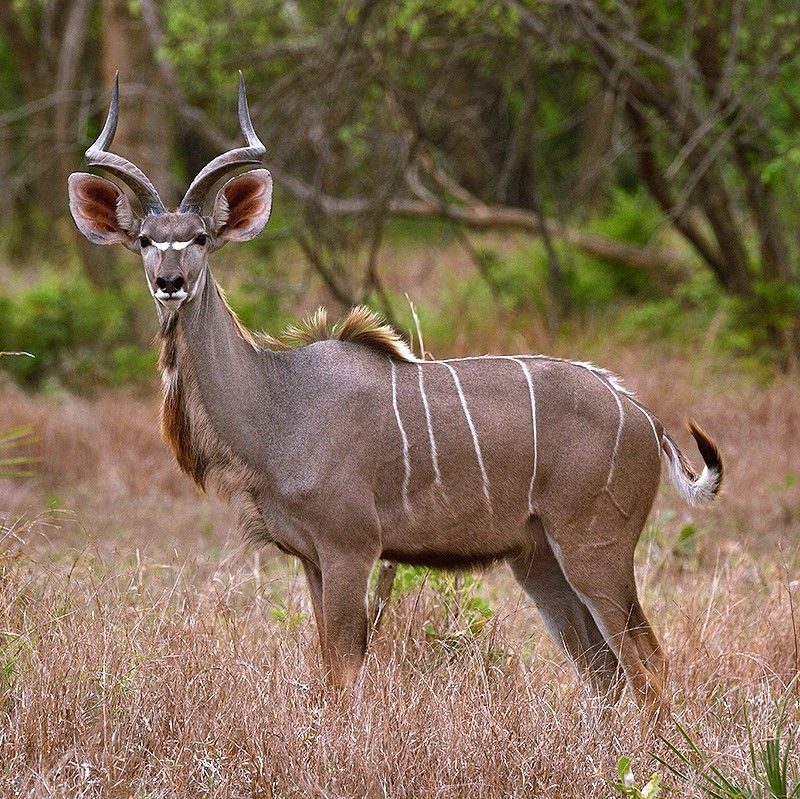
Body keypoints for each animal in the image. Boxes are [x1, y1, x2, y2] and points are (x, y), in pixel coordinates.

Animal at [68, 74, 722, 721]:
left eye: (200, 237)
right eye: (145, 240)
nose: (170, 282)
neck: (280, 401)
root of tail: (646, 418)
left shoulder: (350, 548)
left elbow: (343, 672)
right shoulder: (311, 558)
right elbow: (329, 665)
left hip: (595, 548)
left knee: (647, 662)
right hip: (538, 558)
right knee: (603, 670)